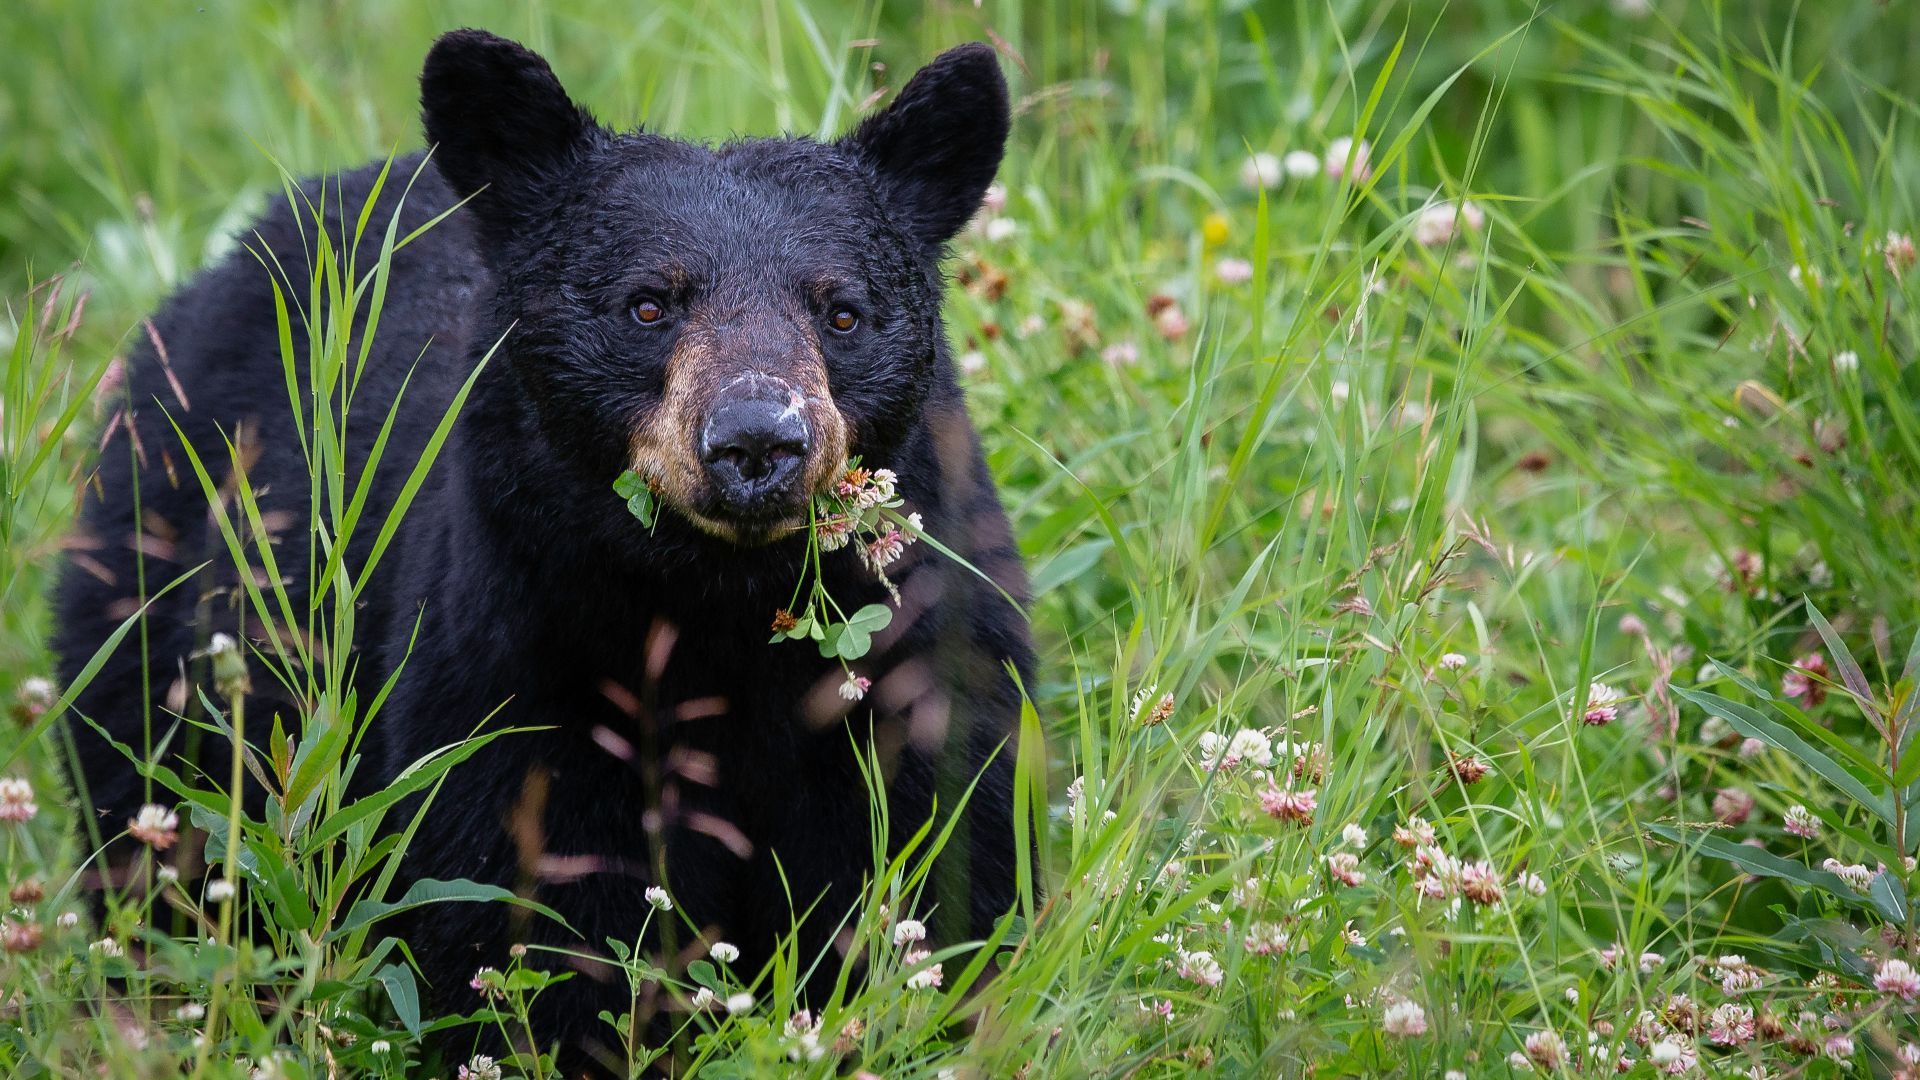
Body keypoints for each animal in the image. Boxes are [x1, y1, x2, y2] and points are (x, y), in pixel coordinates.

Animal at [53, 28, 1033, 1072]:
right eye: (648, 305)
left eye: (841, 311)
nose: (757, 442)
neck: (718, 605)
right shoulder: (515, 658)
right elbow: (526, 905)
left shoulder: (921, 656)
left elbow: (942, 866)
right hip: (155, 585)